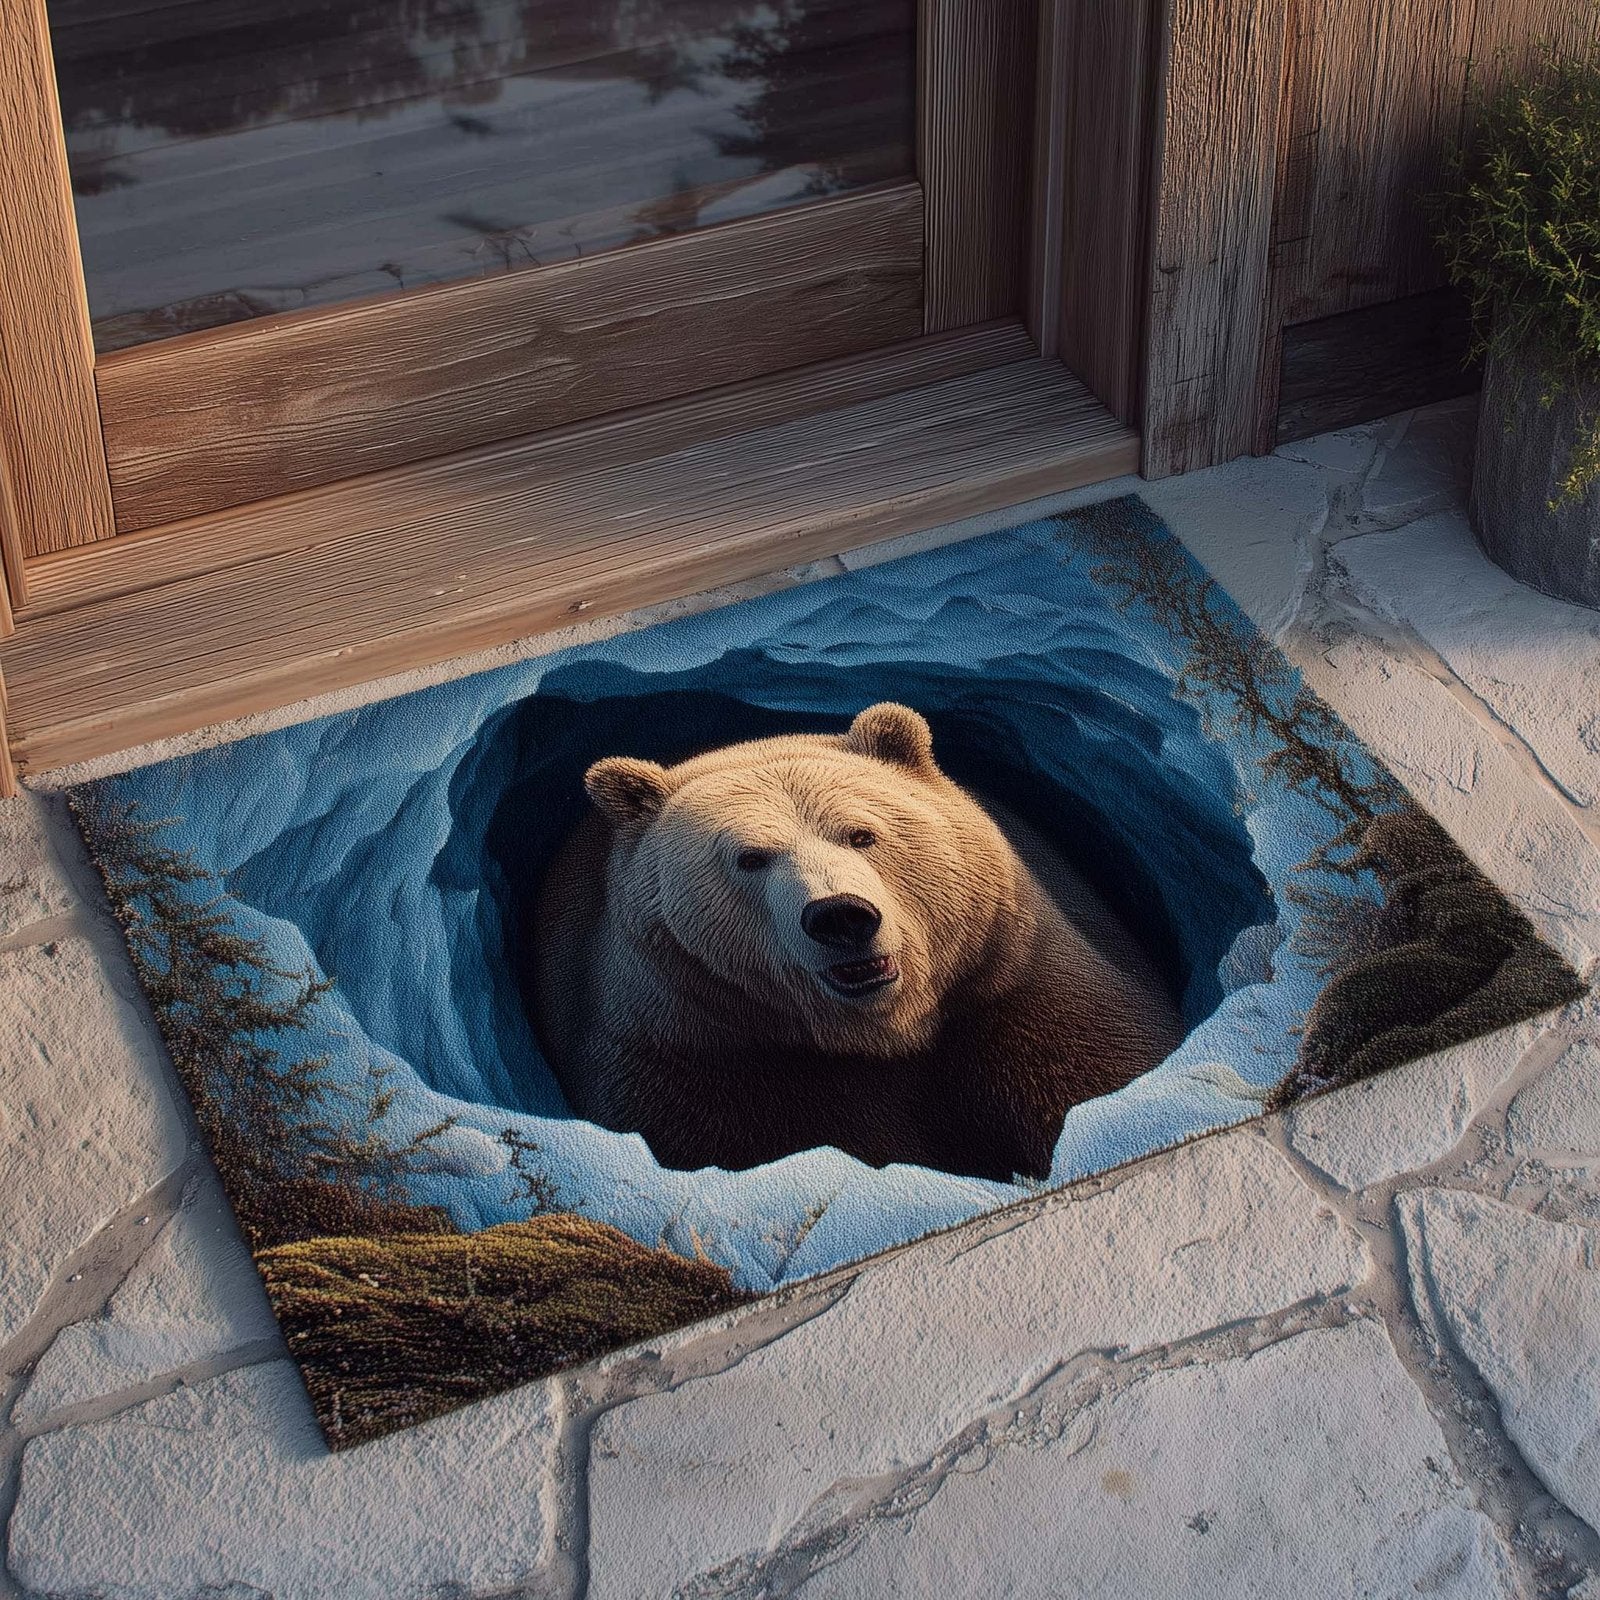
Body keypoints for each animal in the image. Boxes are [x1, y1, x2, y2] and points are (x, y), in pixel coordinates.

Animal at [527, 703, 1185, 1183]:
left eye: (860, 833)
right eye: (750, 857)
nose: (840, 916)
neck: (882, 1035)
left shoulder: (1011, 989)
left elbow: (1095, 1068)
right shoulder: (692, 1059)